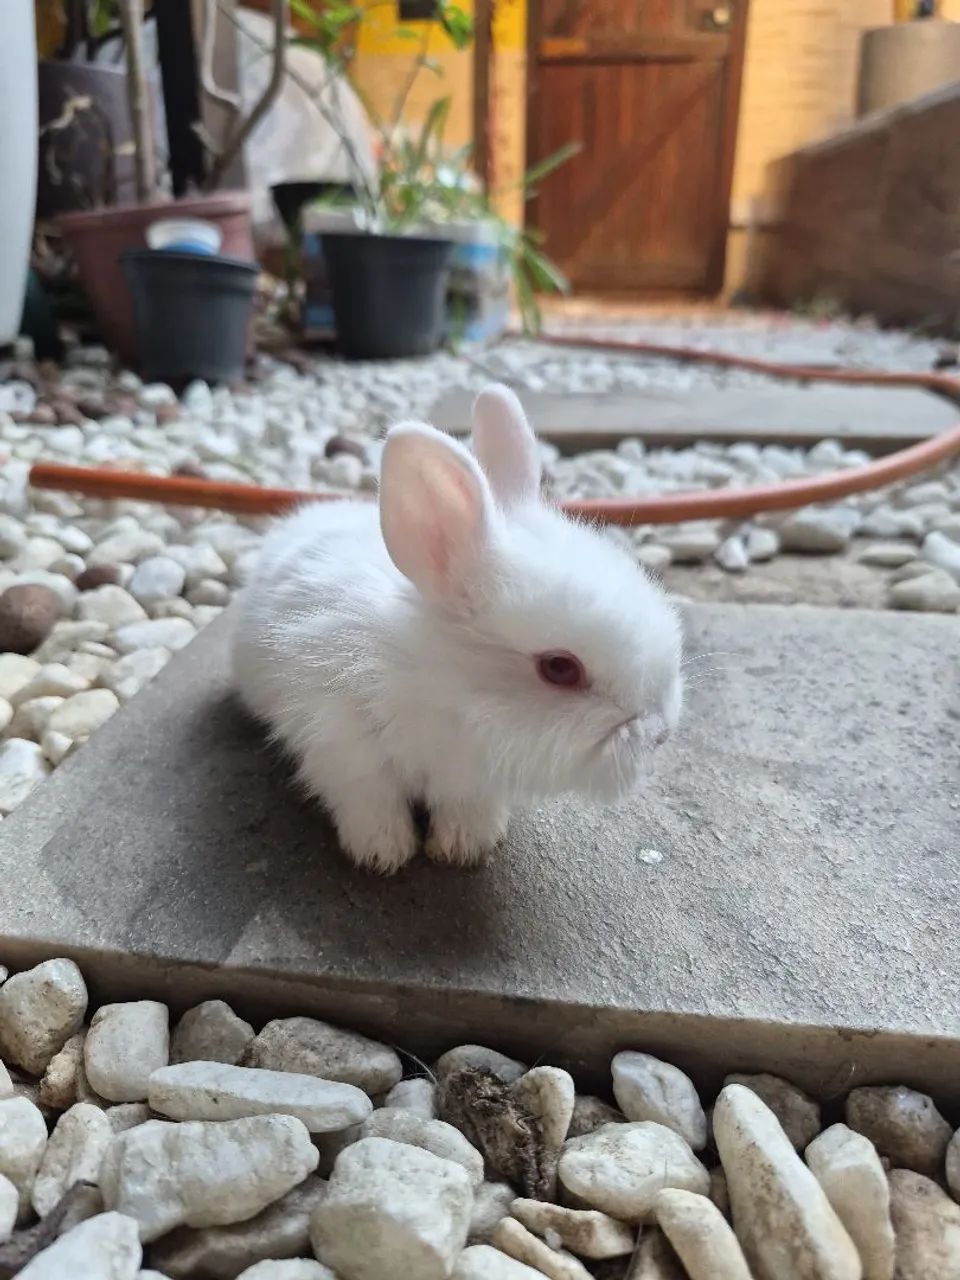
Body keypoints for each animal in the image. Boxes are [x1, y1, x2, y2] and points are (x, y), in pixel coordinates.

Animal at [232, 383, 684, 874]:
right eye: (560, 667)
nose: (662, 734)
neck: (442, 689)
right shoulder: (343, 746)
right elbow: (370, 801)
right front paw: (382, 854)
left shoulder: (473, 783)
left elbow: (467, 809)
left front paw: (461, 849)